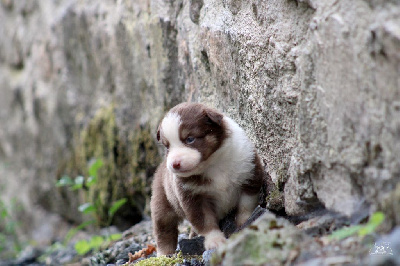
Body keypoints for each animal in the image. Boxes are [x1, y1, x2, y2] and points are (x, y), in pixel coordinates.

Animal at [148, 102, 264, 256]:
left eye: (190, 139)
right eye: (167, 147)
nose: (174, 164)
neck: (213, 165)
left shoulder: (248, 175)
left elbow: (246, 205)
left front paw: (244, 223)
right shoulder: (194, 198)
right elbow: (205, 222)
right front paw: (215, 241)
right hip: (162, 202)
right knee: (164, 229)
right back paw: (164, 254)